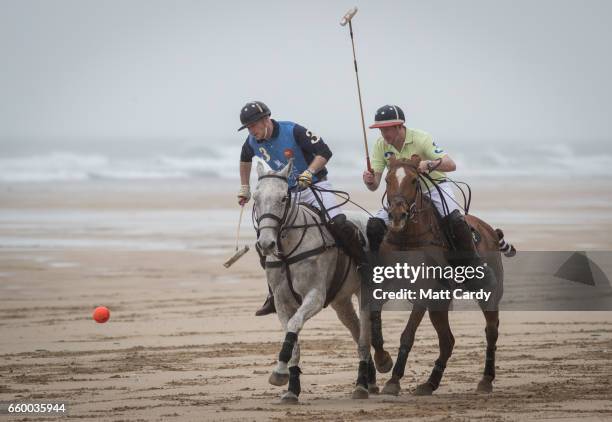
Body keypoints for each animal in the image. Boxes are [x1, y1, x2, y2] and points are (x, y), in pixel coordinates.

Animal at [252, 160, 372, 404]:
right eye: (255, 197)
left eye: (283, 198)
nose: (266, 244)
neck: (287, 250)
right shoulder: (281, 302)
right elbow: (293, 340)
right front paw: (290, 388)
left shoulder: (315, 296)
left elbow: (294, 325)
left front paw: (279, 373)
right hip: (341, 302)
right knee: (355, 330)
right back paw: (374, 374)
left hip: (364, 294)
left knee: (364, 337)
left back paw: (362, 386)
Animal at [376, 155, 512, 396]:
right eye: (387, 180)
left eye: (414, 180)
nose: (397, 216)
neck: (407, 239)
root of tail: (491, 231)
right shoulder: (383, 288)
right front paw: (381, 361)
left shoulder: (423, 291)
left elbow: (407, 334)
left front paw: (393, 381)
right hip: (440, 302)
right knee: (448, 340)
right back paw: (430, 383)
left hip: (489, 292)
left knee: (491, 331)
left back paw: (486, 380)